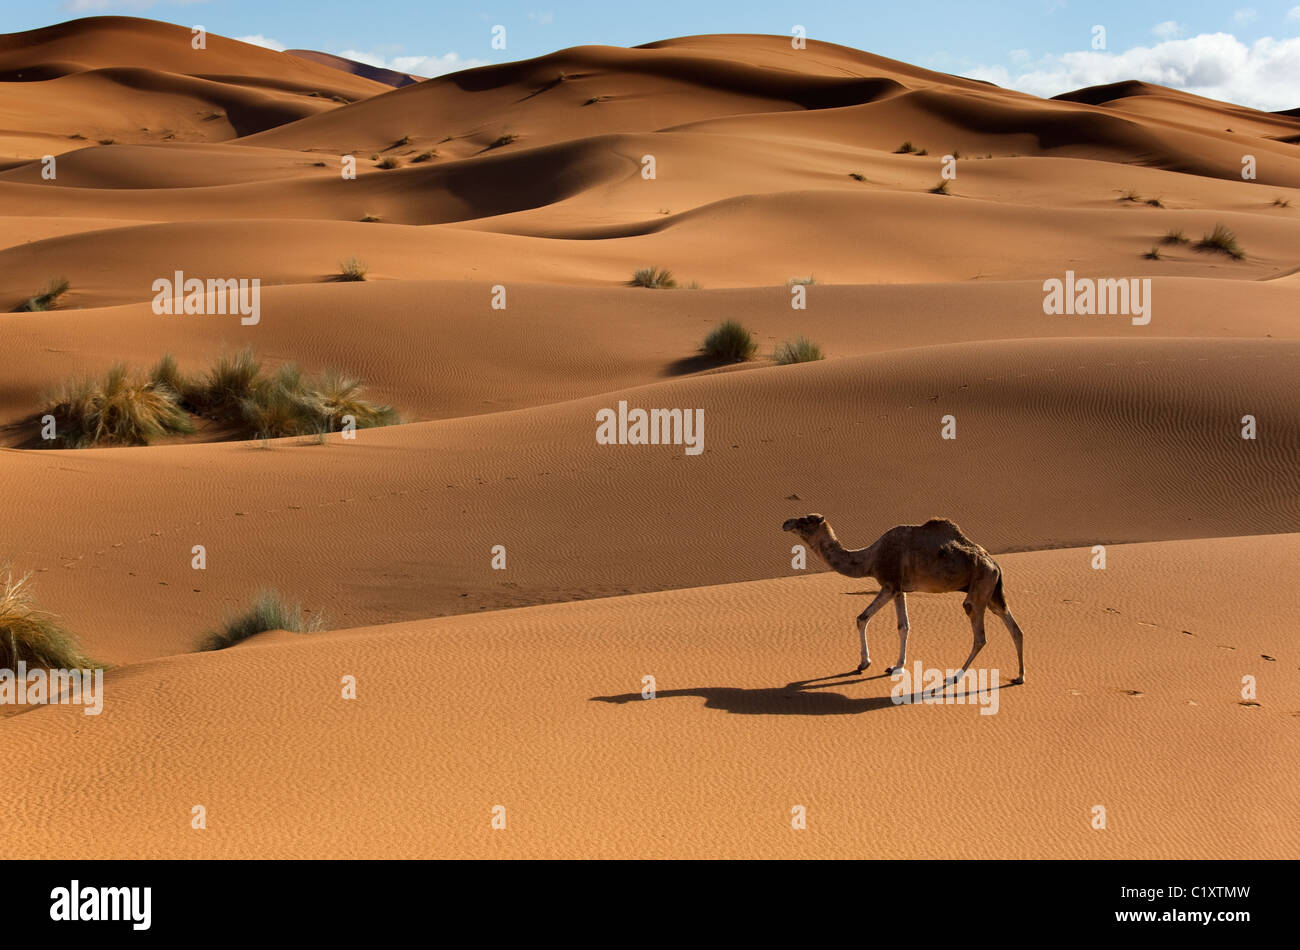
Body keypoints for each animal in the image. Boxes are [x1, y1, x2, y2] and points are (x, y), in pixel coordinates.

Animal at [780, 512, 1024, 686]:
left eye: (806, 520)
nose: (786, 522)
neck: (870, 558)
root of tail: (995, 563)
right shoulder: (900, 589)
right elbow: (902, 625)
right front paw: (892, 665)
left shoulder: (889, 585)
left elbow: (866, 619)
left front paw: (868, 663)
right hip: (992, 591)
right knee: (1014, 627)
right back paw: (1019, 677)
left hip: (980, 586)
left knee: (980, 634)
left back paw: (956, 675)